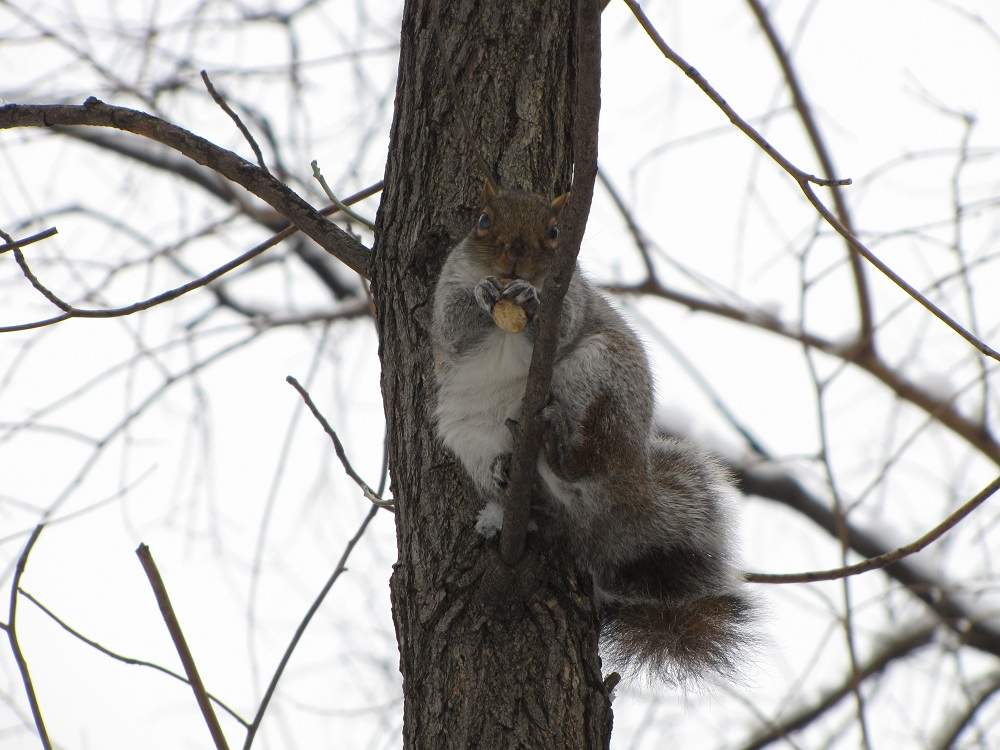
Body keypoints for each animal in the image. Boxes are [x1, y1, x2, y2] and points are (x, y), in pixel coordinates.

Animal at [431, 177, 755, 682]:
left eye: (555, 231)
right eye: (483, 221)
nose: (513, 260)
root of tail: (634, 489)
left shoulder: (573, 299)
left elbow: (563, 322)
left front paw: (530, 301)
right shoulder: (447, 293)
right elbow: (452, 325)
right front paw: (484, 295)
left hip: (598, 376)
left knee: (586, 460)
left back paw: (558, 453)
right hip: (469, 433)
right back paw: (507, 488)